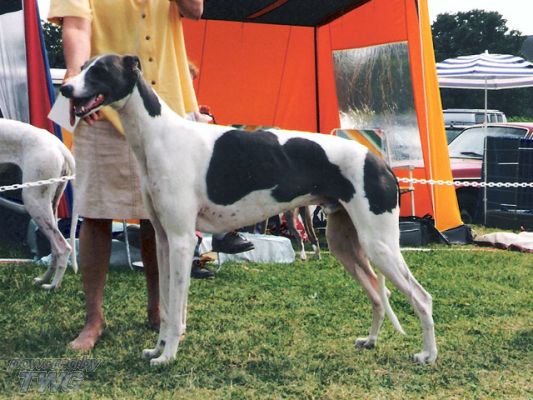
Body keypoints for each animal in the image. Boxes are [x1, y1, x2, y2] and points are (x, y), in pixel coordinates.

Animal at [0, 119, 77, 289]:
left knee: (63, 248)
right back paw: (43, 280)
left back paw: (52, 287)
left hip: (33, 200)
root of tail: (60, 147)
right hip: (50, 206)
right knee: (55, 249)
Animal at [61, 54, 437, 366]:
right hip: (345, 243)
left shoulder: (182, 239)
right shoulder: (164, 240)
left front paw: (168, 356)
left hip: (379, 243)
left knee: (421, 296)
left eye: (99, 70)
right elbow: (167, 308)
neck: (158, 135)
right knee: (378, 293)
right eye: (81, 66)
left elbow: (177, 306)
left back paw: (428, 355)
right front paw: (158, 348)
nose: (65, 88)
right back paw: (371, 341)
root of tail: (379, 161)